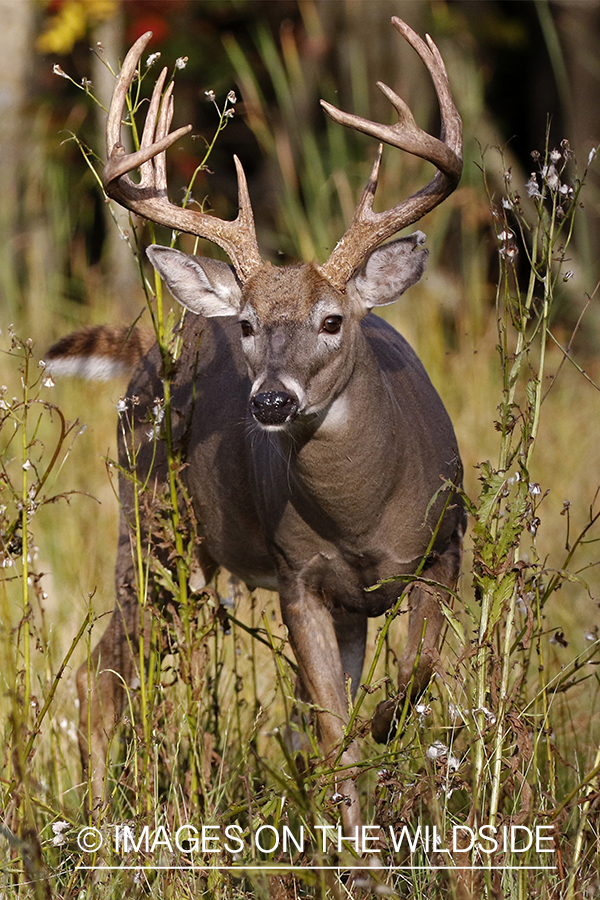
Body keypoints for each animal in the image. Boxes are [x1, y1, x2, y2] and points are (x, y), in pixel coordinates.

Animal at [50, 17, 464, 828]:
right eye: (246, 325)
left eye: (332, 320)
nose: (271, 401)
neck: (364, 515)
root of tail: (147, 354)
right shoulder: (300, 577)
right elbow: (332, 729)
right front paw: (354, 836)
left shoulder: (439, 549)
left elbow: (411, 677)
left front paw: (384, 745)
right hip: (150, 535)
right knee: (98, 679)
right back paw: (98, 817)